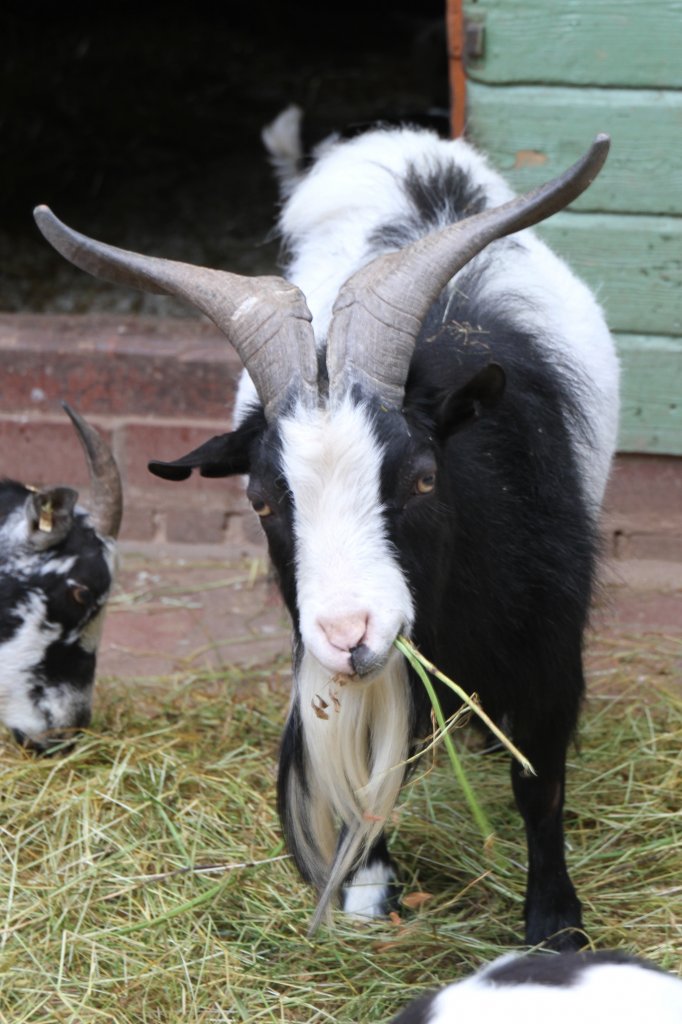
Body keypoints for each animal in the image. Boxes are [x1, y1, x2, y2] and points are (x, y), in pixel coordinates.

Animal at [31, 114, 614, 950]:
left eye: (423, 478)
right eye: (262, 500)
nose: (348, 634)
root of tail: (405, 150)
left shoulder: (550, 645)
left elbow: (540, 781)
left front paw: (555, 923)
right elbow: (367, 774)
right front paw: (369, 884)